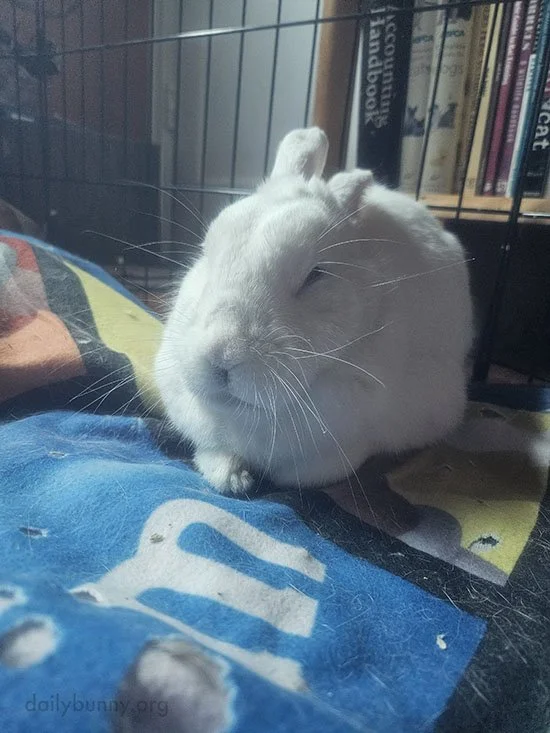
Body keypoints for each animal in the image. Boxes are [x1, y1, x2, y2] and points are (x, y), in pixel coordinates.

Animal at [155, 127, 473, 495]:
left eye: (315, 276)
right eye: (207, 252)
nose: (221, 355)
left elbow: (315, 470)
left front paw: (274, 479)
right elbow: (214, 454)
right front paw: (233, 478)